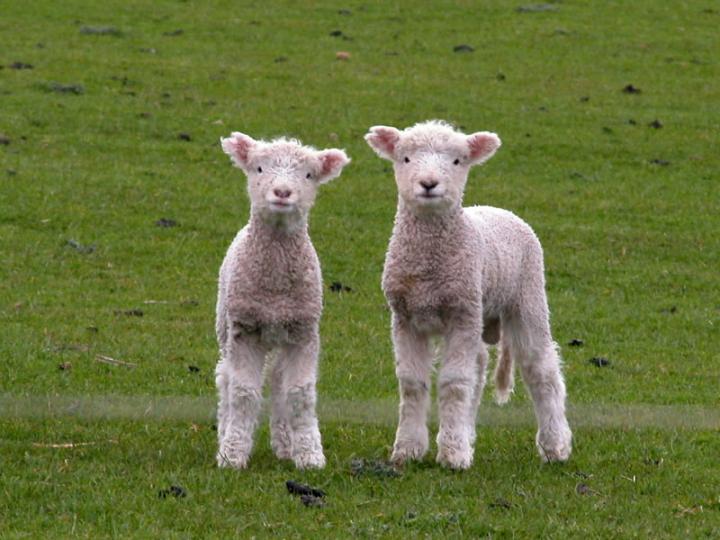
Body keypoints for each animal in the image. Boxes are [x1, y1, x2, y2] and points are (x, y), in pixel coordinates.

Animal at [215, 132, 350, 469]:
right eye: (259, 168)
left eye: (309, 175)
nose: (282, 192)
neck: (275, 287)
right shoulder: (245, 330)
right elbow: (243, 392)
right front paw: (233, 453)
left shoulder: (304, 332)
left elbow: (299, 394)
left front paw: (309, 454)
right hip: (224, 325)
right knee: (225, 379)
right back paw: (223, 434)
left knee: (277, 382)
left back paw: (285, 443)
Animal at [365, 120, 572, 469]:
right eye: (405, 158)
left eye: (457, 161)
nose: (429, 183)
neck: (429, 266)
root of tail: (500, 210)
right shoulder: (405, 317)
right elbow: (413, 384)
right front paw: (408, 449)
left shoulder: (460, 314)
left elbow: (453, 384)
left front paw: (452, 455)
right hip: (479, 310)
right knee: (479, 367)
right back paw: (467, 432)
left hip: (527, 297)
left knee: (541, 369)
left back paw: (555, 445)